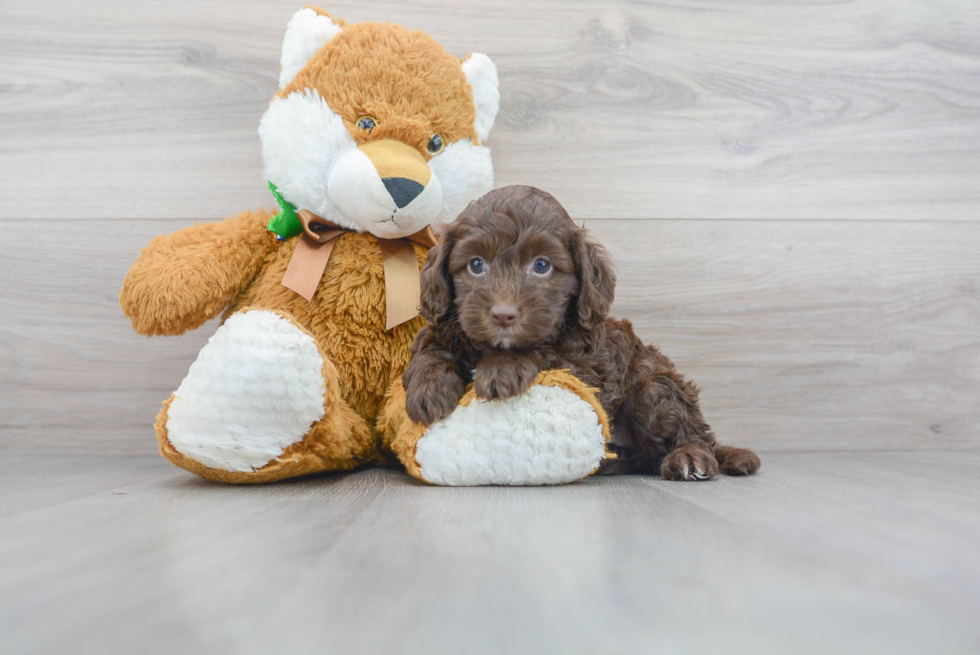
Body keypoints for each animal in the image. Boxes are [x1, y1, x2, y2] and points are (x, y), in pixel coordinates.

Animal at [402, 184, 760, 482]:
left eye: (542, 265)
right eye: (476, 265)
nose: (503, 314)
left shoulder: (587, 363)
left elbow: (546, 348)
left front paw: (502, 367)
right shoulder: (445, 324)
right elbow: (429, 346)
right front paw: (428, 388)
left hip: (652, 386)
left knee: (689, 430)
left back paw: (690, 457)